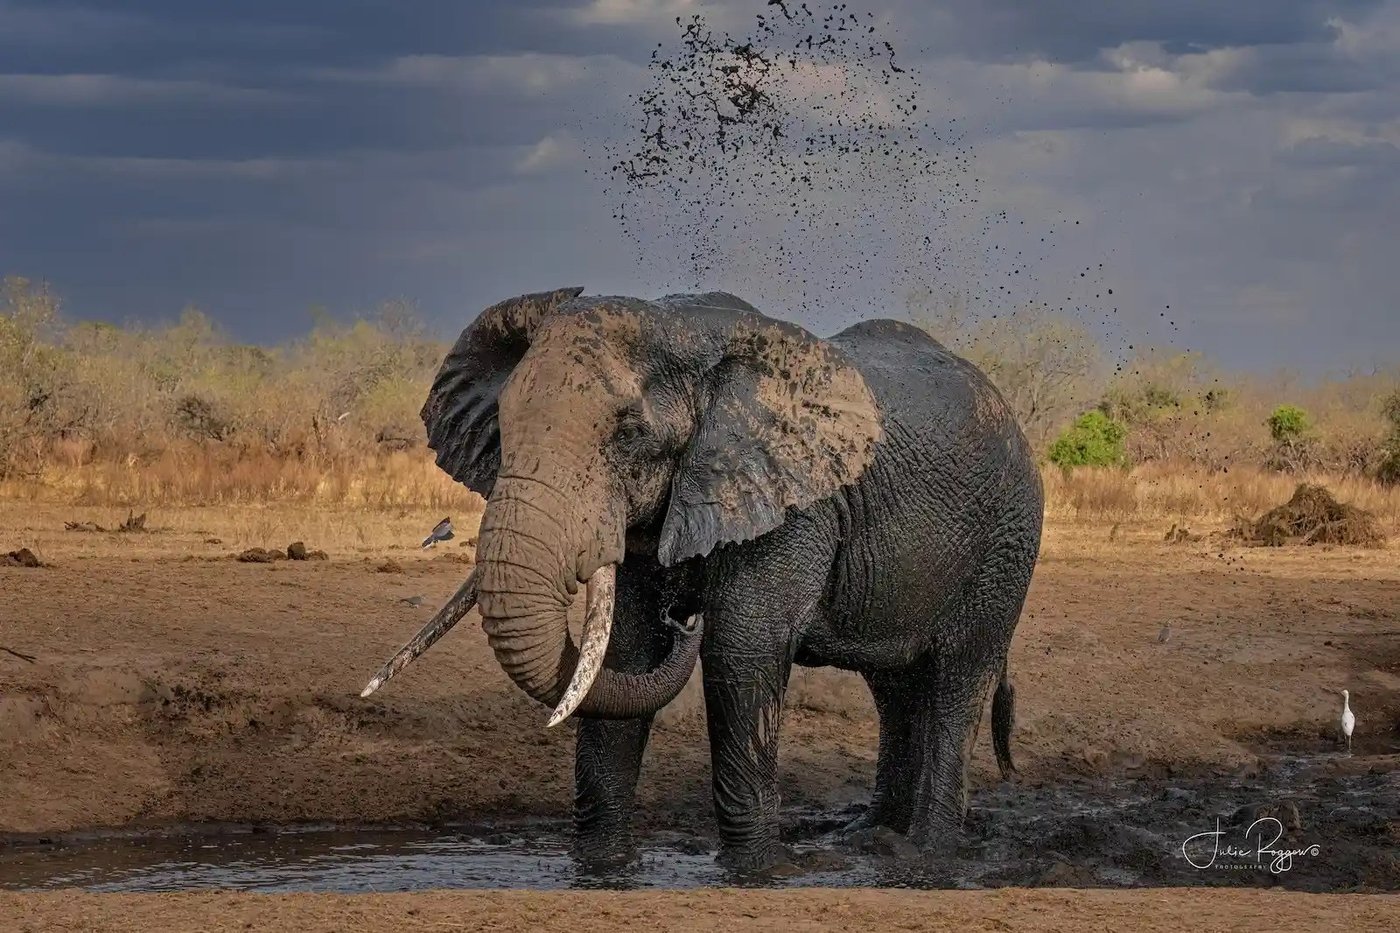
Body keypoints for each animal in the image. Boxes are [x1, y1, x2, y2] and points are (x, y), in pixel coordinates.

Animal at [360, 286, 1044, 872]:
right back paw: (872, 837)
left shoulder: (794, 503)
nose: (681, 617)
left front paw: (756, 872)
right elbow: (626, 655)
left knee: (957, 682)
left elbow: (741, 654)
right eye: (502, 425)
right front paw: (601, 866)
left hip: (1007, 543)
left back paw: (926, 855)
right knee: (895, 688)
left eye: (630, 434)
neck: (685, 330)